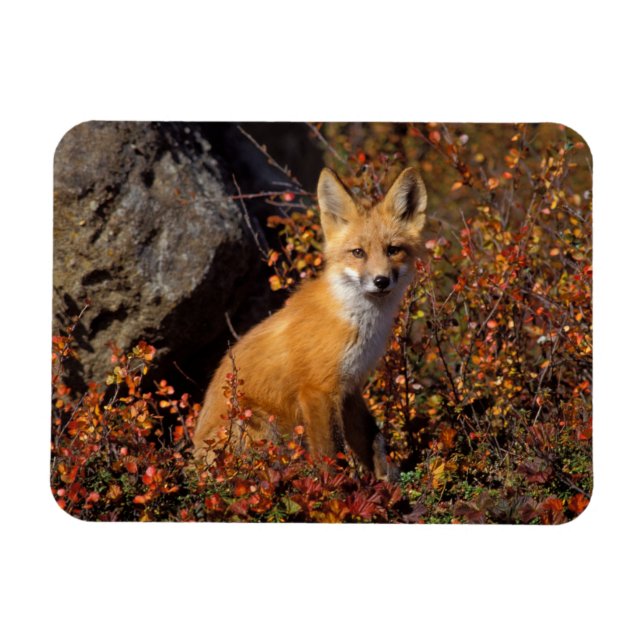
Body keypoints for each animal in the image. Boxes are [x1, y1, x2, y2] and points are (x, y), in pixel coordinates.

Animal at [193, 166, 429, 480]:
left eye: (393, 250)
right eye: (358, 252)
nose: (381, 281)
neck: (358, 323)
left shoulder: (350, 387)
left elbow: (373, 439)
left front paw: (385, 481)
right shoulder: (318, 390)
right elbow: (333, 455)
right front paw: (340, 489)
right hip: (262, 426)